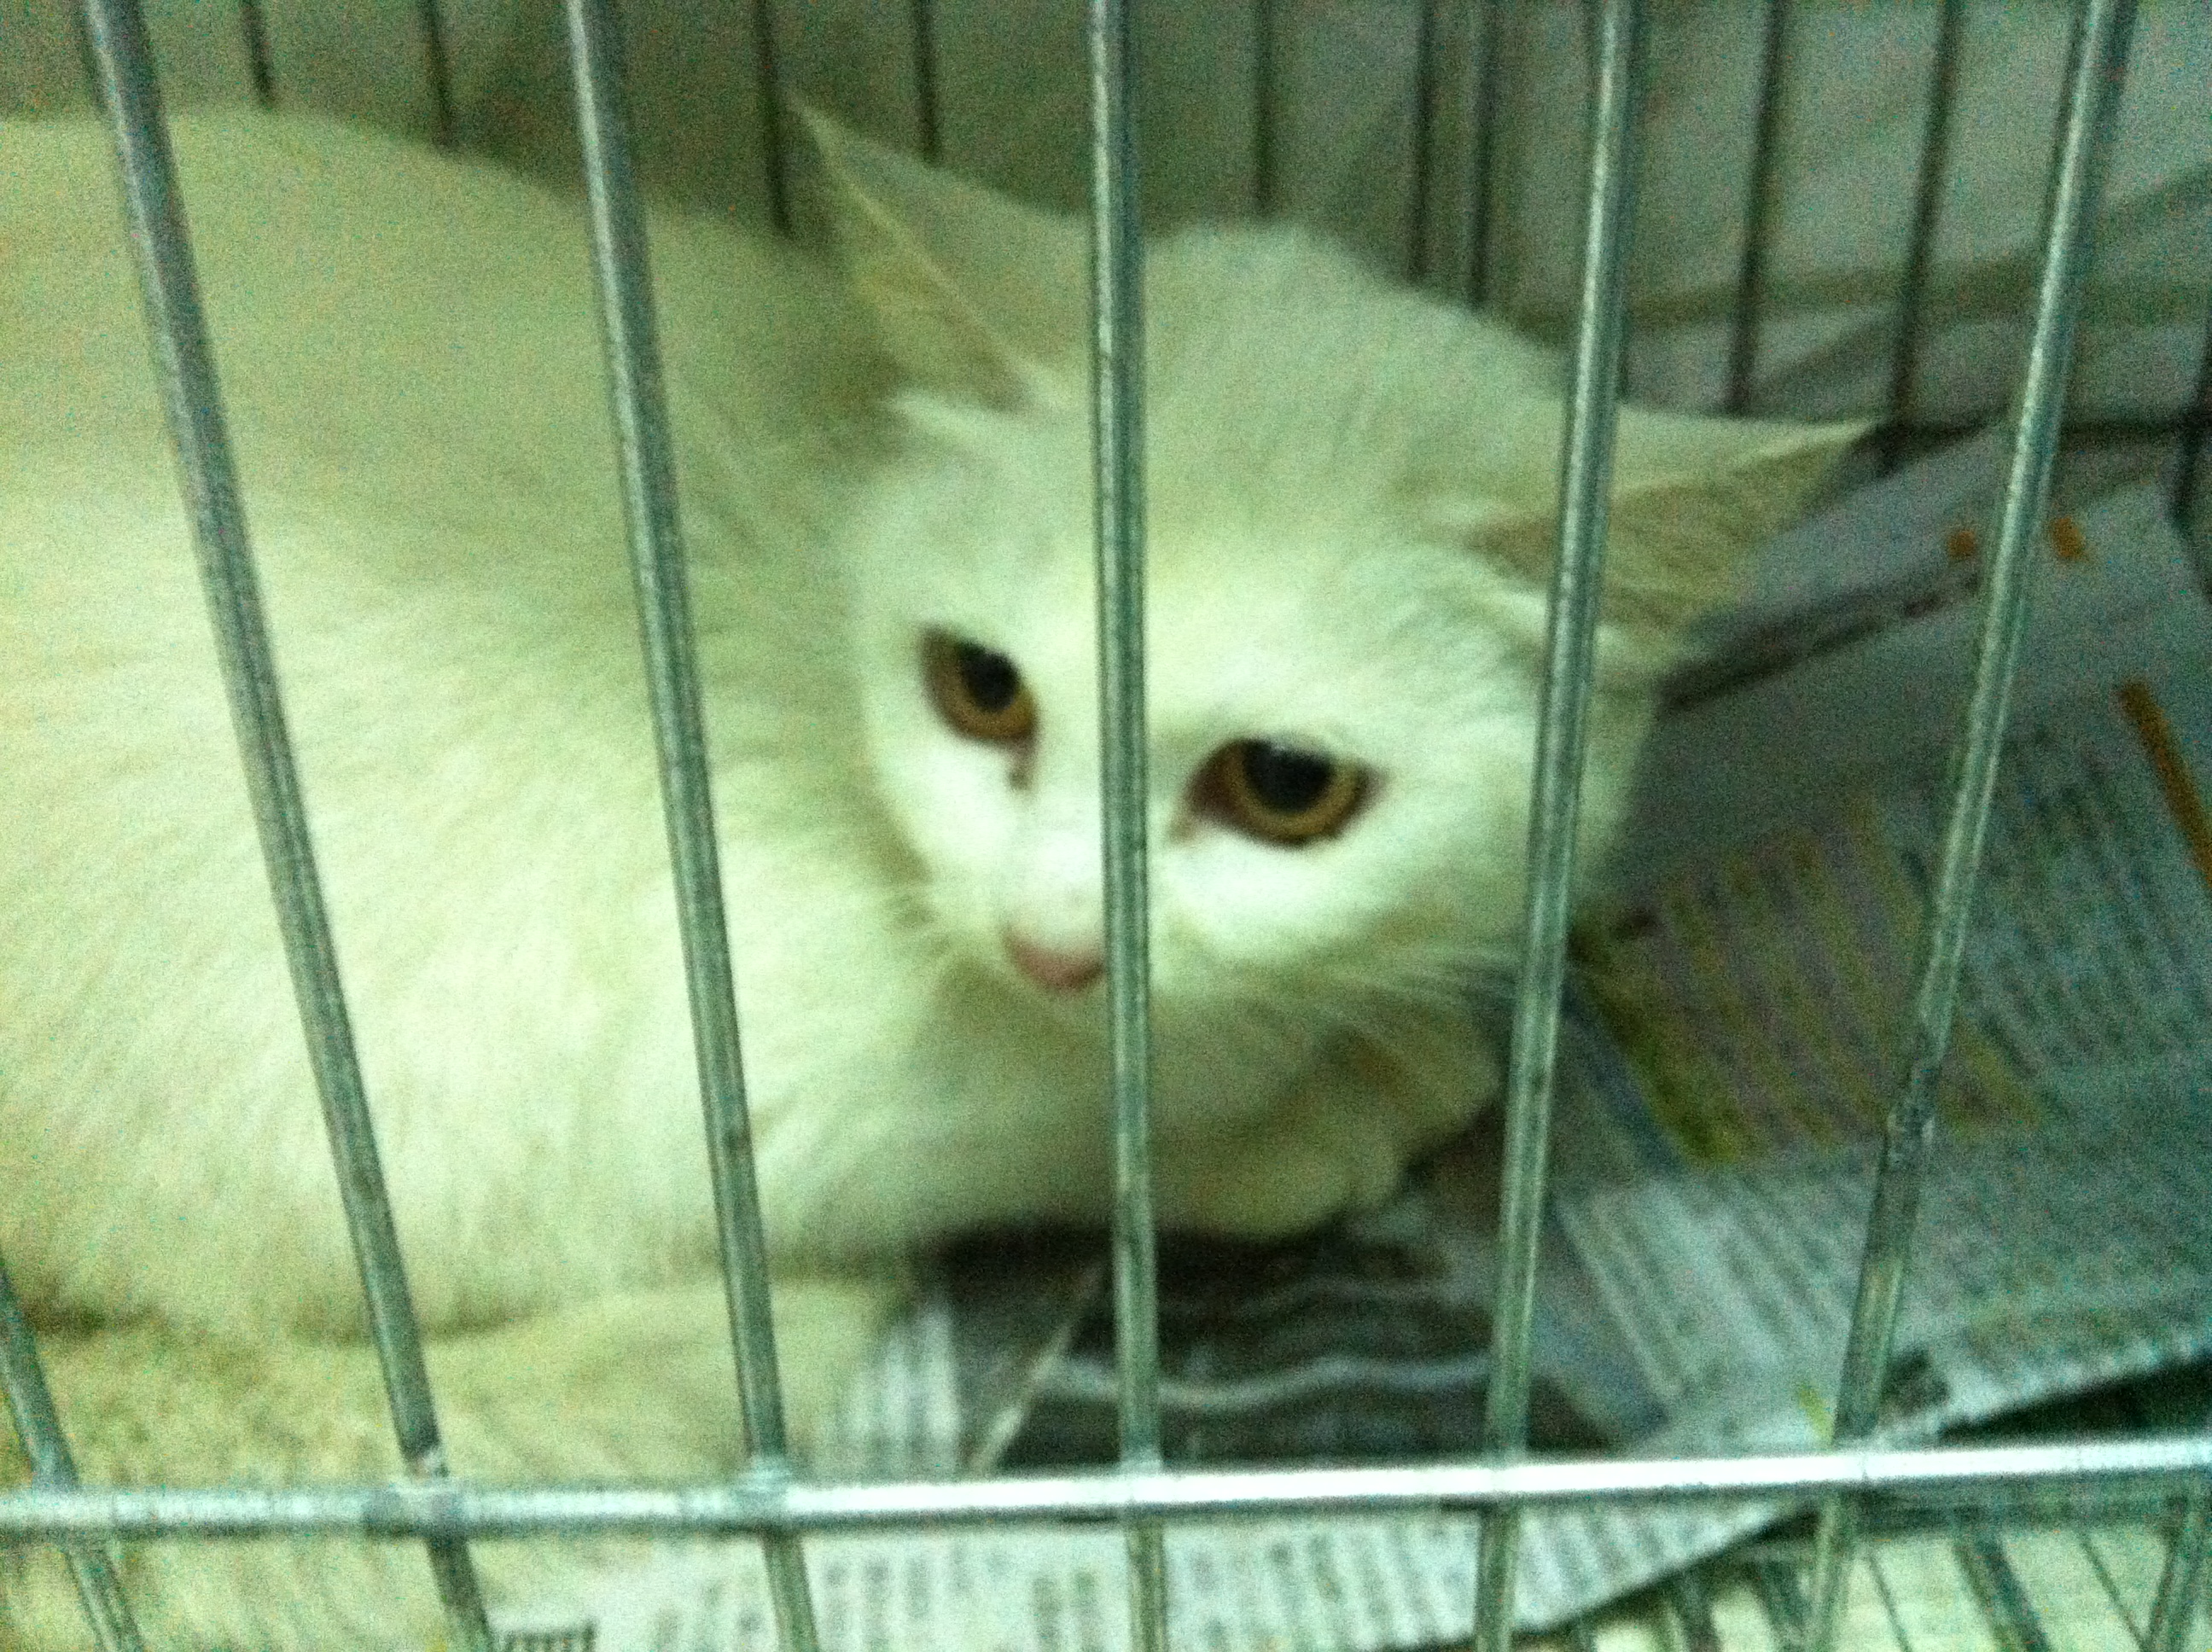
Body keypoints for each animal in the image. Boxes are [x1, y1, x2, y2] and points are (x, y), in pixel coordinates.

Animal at [0, 106, 1857, 1648]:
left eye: (1283, 787)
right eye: (981, 687)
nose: (1054, 941)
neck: (815, 582)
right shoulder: (654, 1078)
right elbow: (1046, 1119)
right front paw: (1317, 1102)